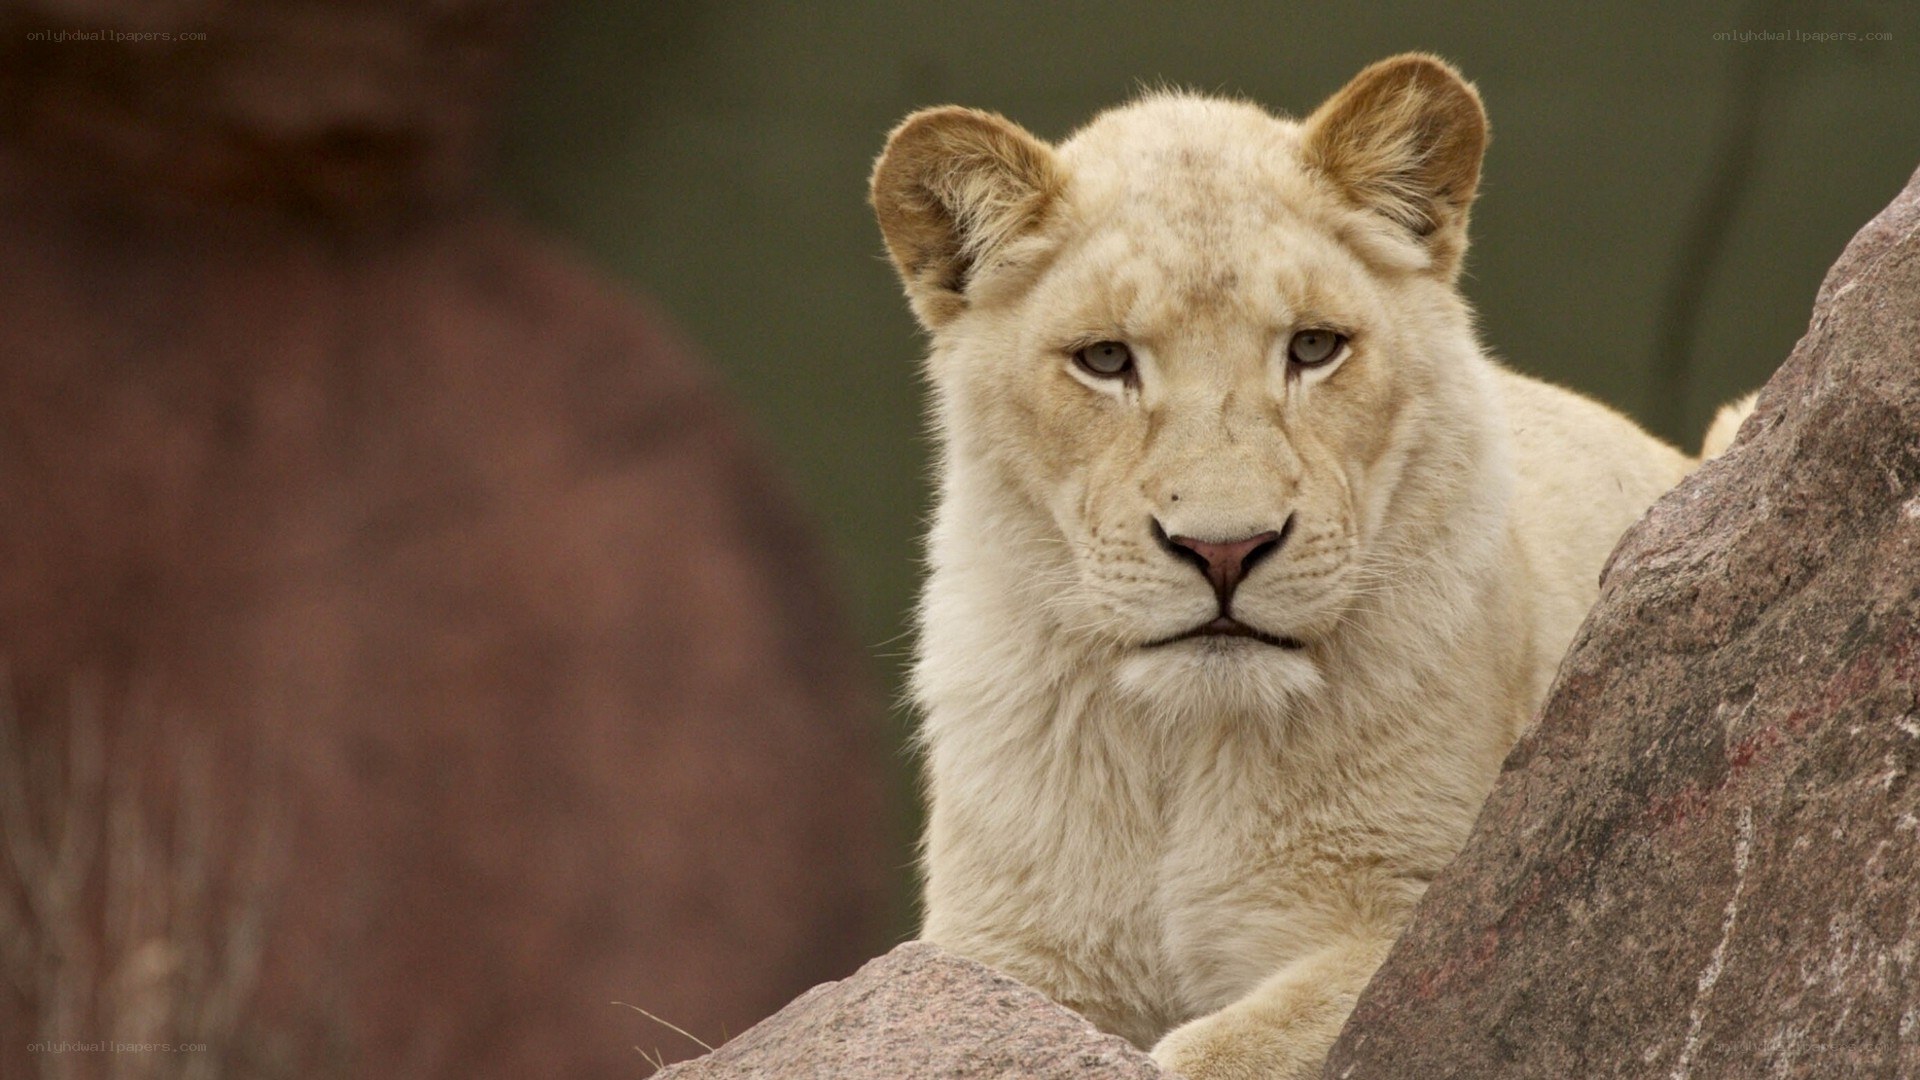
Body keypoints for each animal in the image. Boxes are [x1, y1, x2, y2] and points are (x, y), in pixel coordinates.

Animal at [870, 54, 1745, 1078]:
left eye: (1315, 347)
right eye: (1104, 359)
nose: (1223, 549)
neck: (1179, 753)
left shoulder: (1423, 919)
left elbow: (1220, 1051)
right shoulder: (991, 951)